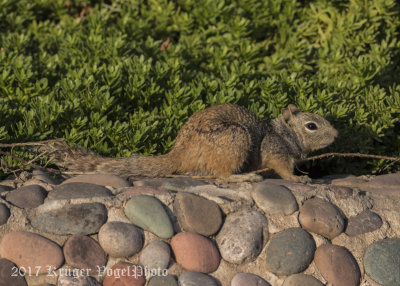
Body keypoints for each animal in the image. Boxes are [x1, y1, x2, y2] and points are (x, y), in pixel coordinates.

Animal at [43, 104, 338, 182]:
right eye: (312, 125)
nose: (336, 135)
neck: (285, 133)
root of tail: (179, 154)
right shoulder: (276, 151)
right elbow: (283, 168)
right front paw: (299, 179)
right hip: (236, 141)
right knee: (221, 176)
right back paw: (245, 178)